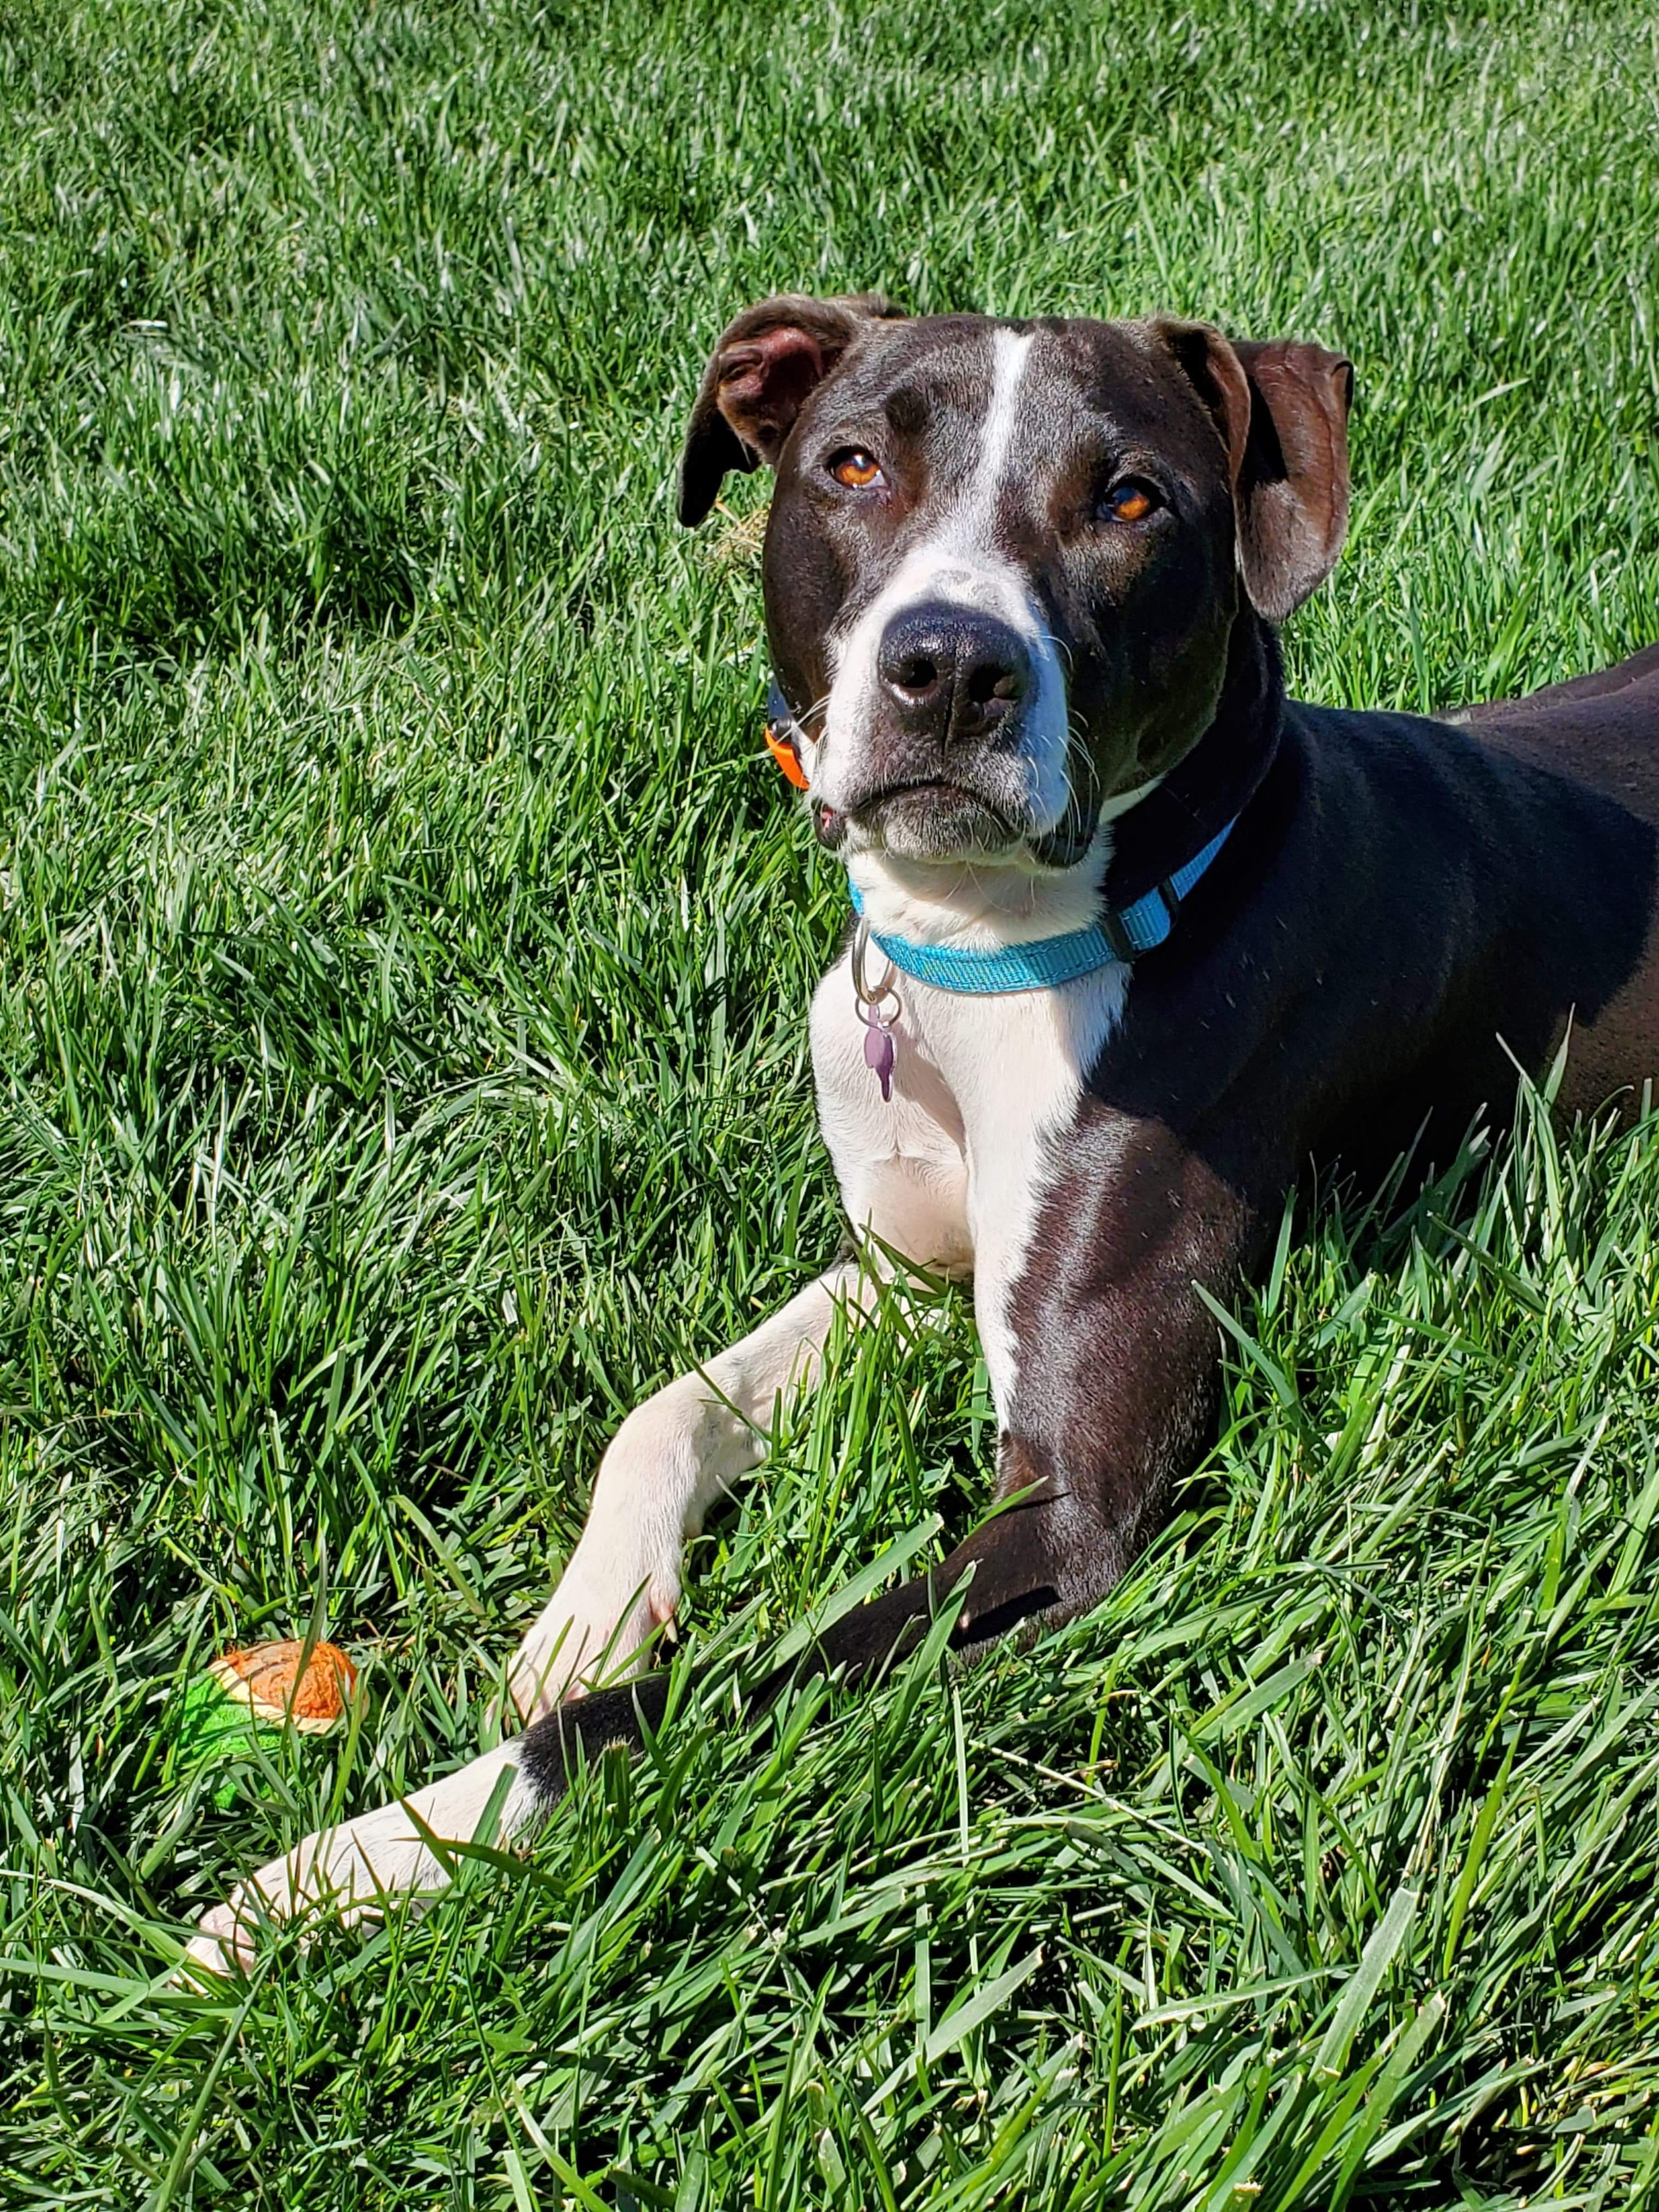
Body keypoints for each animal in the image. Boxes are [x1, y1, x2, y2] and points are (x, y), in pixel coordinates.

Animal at [184, 294, 1659, 1973]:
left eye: (1129, 499)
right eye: (851, 465)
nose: (950, 665)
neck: (979, 955)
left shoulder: (1065, 1512)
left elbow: (679, 1708)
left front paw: (359, 1860)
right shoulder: (904, 1274)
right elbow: (670, 1408)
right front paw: (589, 1615)